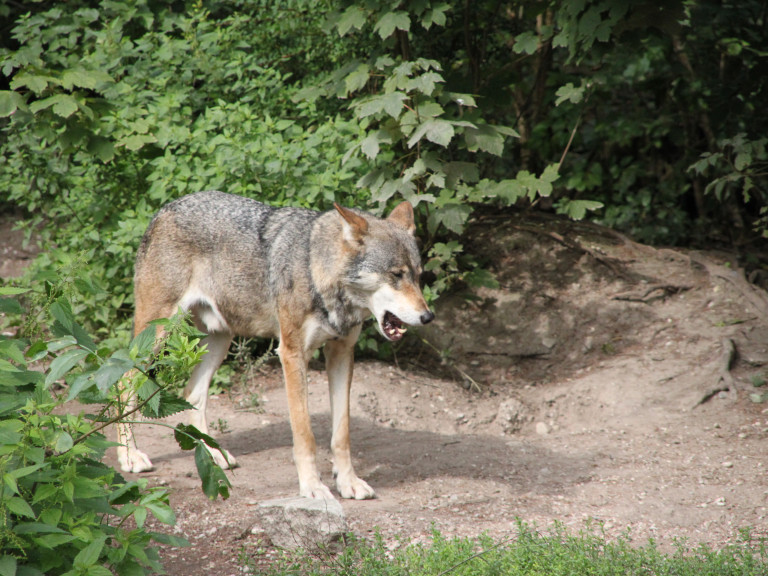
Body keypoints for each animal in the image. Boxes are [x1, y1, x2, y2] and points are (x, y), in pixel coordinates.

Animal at [116, 190, 434, 500]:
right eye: (396, 274)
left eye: (418, 275)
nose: (428, 316)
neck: (317, 272)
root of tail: (165, 209)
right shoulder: (292, 354)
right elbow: (305, 435)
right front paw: (312, 487)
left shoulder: (342, 353)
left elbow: (341, 434)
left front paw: (348, 483)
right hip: (158, 334)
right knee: (123, 382)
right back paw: (130, 456)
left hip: (218, 340)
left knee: (192, 393)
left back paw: (213, 454)